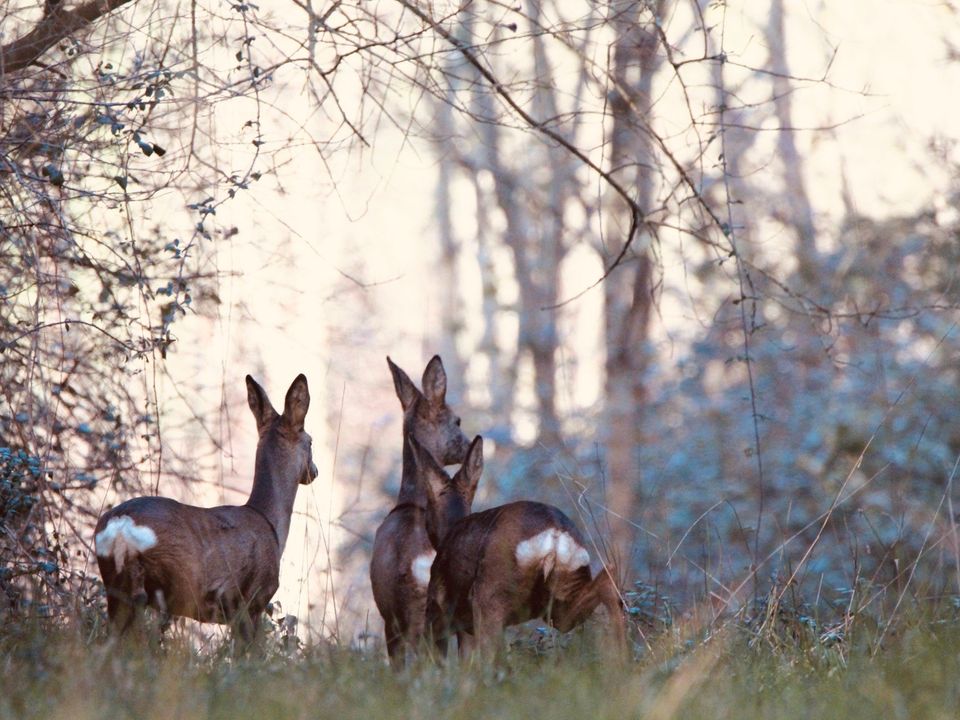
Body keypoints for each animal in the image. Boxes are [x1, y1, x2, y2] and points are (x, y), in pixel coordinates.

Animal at [92, 374, 316, 644]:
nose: (314, 471)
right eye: (311, 442)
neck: (269, 522)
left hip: (114, 584)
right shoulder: (250, 600)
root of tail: (120, 525)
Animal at [406, 430, 628, 660]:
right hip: (563, 589)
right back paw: (622, 657)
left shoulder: (438, 608)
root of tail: (554, 535)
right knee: (605, 584)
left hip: (489, 596)